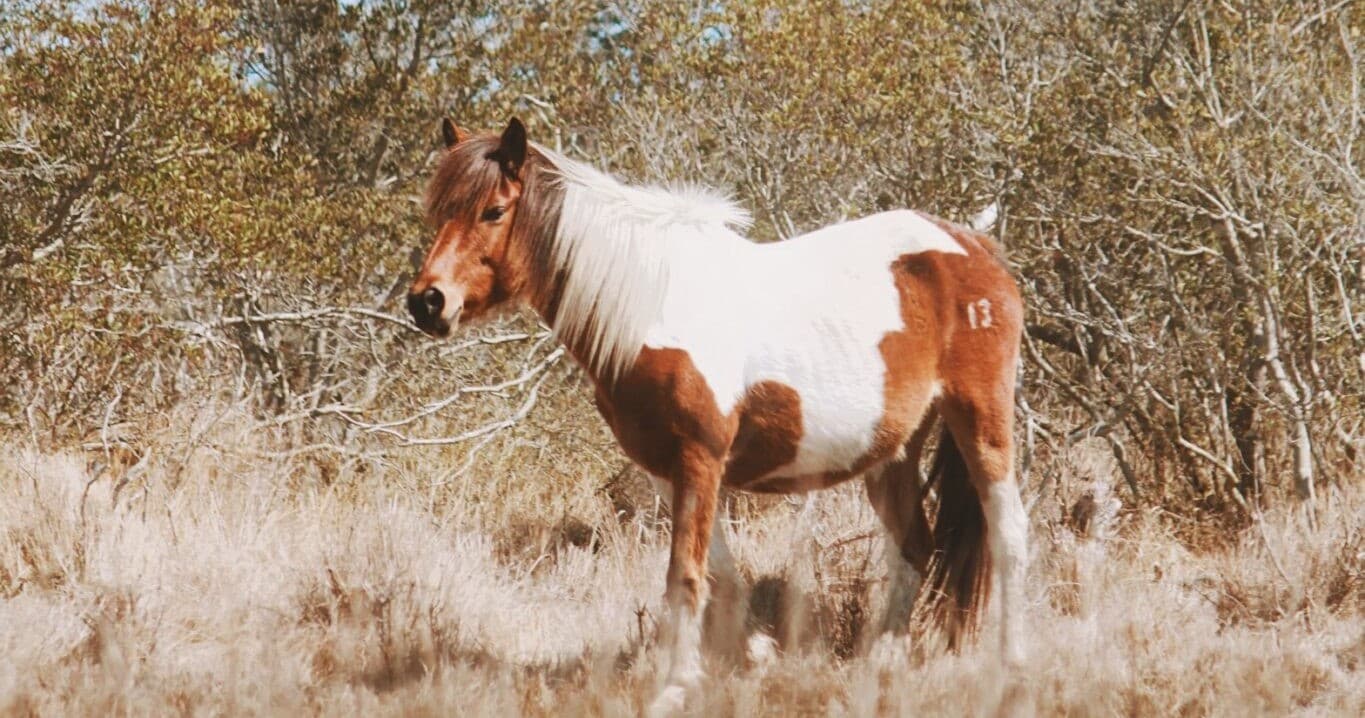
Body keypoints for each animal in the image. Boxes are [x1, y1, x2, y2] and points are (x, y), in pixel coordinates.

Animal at [407, 117, 1028, 715]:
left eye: (493, 210)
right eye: (438, 212)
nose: (427, 302)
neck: (652, 307)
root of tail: (973, 245)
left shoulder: (700, 457)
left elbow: (685, 575)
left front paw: (676, 687)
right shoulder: (666, 470)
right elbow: (721, 575)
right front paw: (759, 658)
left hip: (981, 420)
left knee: (1009, 535)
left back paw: (1009, 667)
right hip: (891, 452)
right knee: (914, 545)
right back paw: (886, 663)